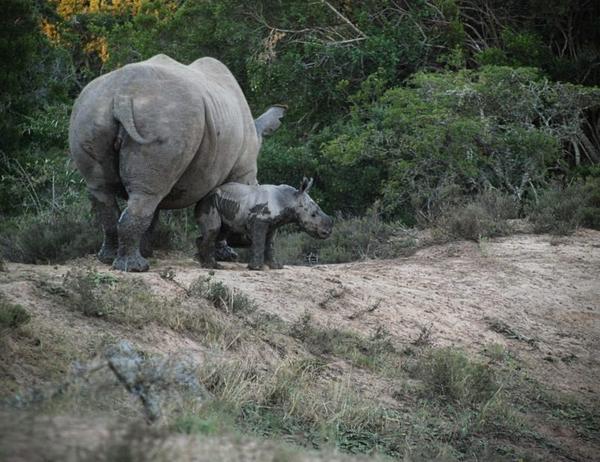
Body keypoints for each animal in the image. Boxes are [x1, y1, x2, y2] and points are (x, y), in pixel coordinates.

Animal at [69, 54, 284, 270]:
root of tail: (122, 95)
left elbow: (155, 213)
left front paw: (147, 251)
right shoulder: (242, 171)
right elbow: (226, 214)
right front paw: (227, 256)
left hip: (91, 110)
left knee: (105, 190)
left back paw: (109, 259)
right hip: (168, 118)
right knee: (145, 194)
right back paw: (136, 268)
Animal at [196, 177, 332, 270]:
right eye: (313, 214)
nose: (328, 232)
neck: (289, 199)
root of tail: (202, 197)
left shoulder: (274, 225)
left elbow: (270, 244)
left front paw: (276, 266)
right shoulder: (259, 221)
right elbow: (259, 242)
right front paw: (256, 268)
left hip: (221, 203)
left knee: (221, 231)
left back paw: (203, 263)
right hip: (209, 202)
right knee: (215, 229)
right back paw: (213, 266)